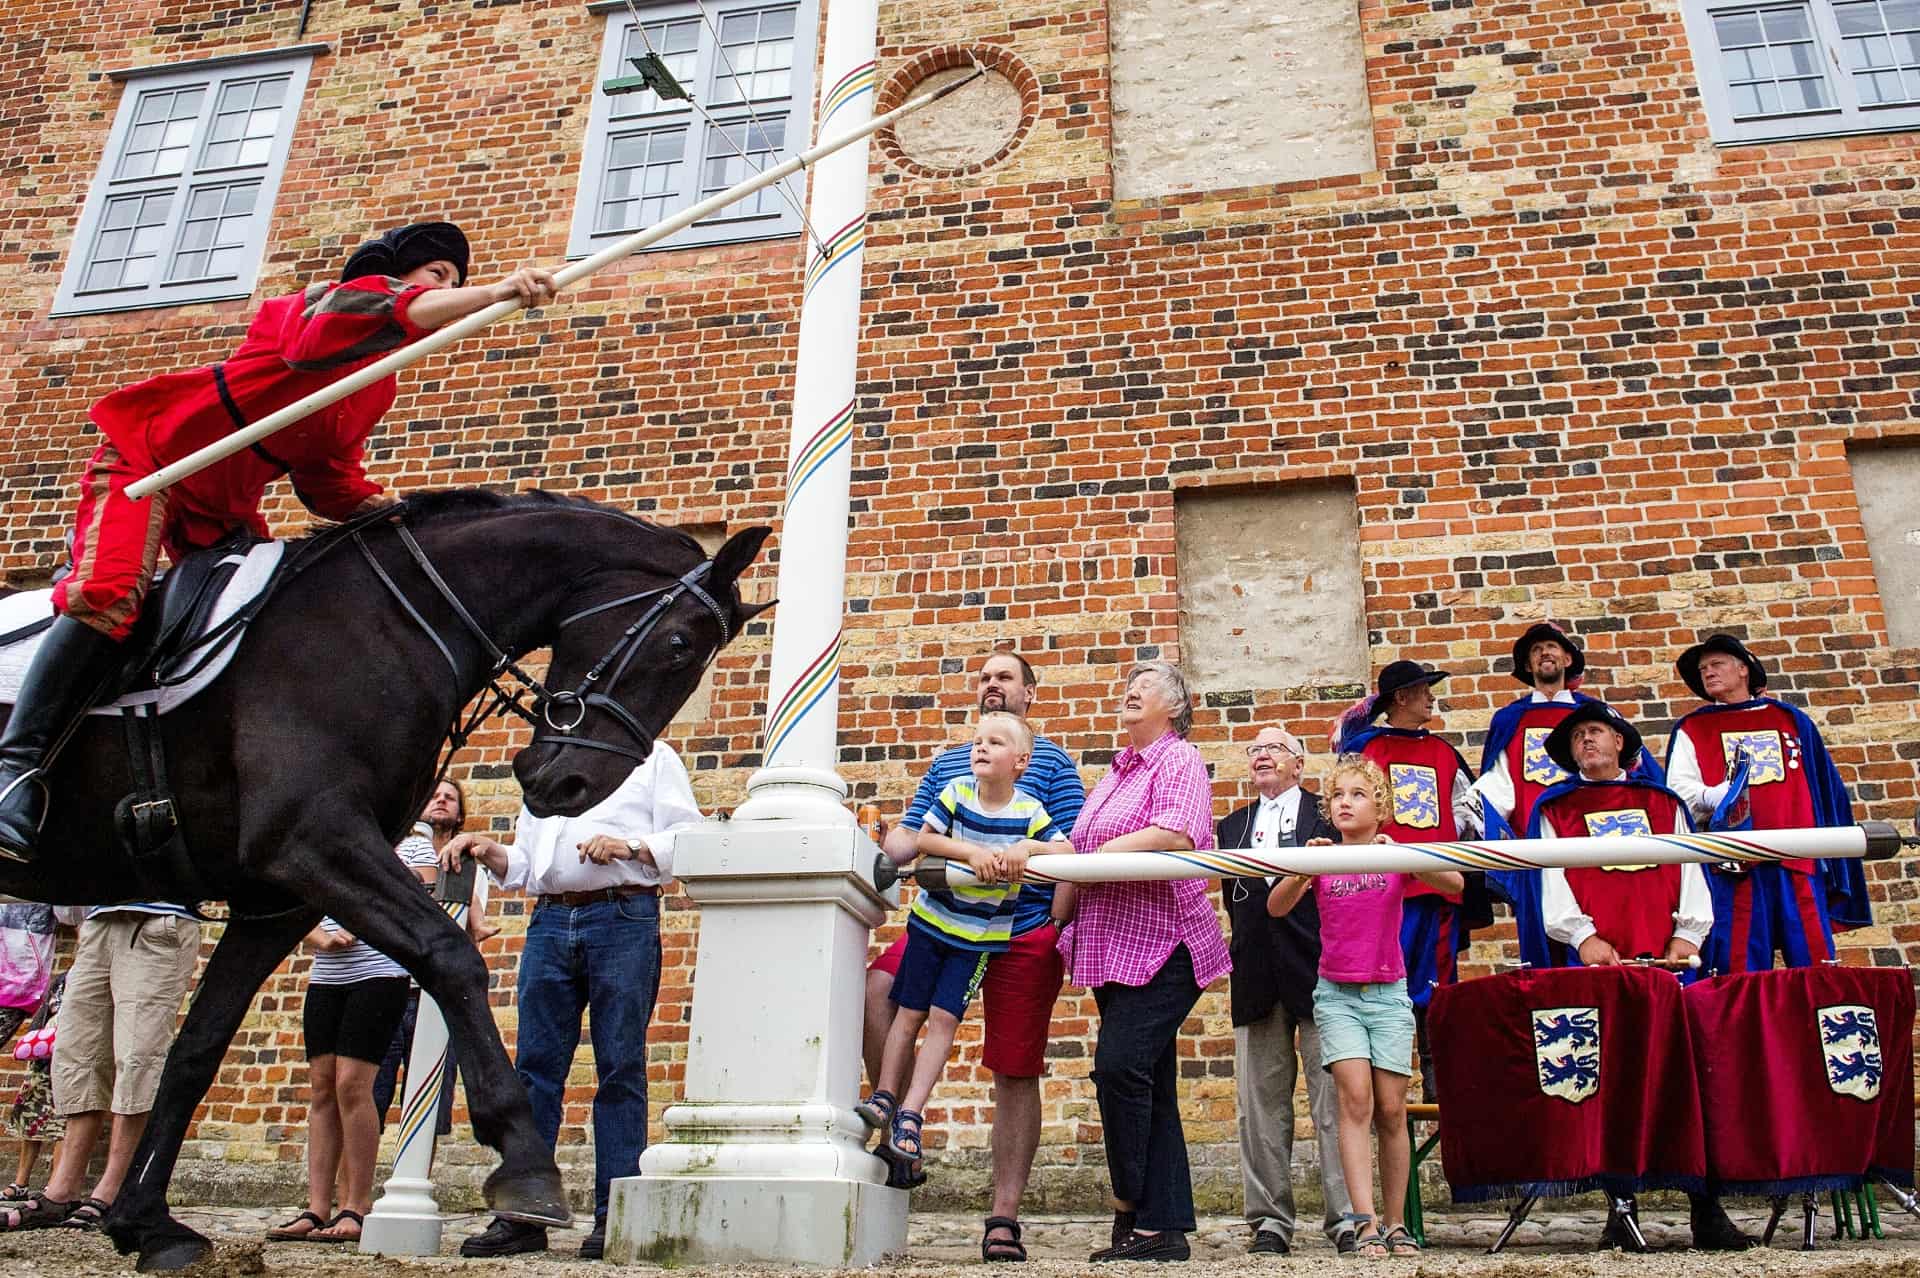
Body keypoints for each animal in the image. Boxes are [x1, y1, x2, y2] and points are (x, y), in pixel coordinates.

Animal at [0, 487, 771, 1266]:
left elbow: (197, 1045)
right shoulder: (316, 840)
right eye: (679, 646)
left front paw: (147, 1222)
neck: (392, 620)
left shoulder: (279, 896)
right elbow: (450, 955)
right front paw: (525, 1161)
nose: (569, 784)